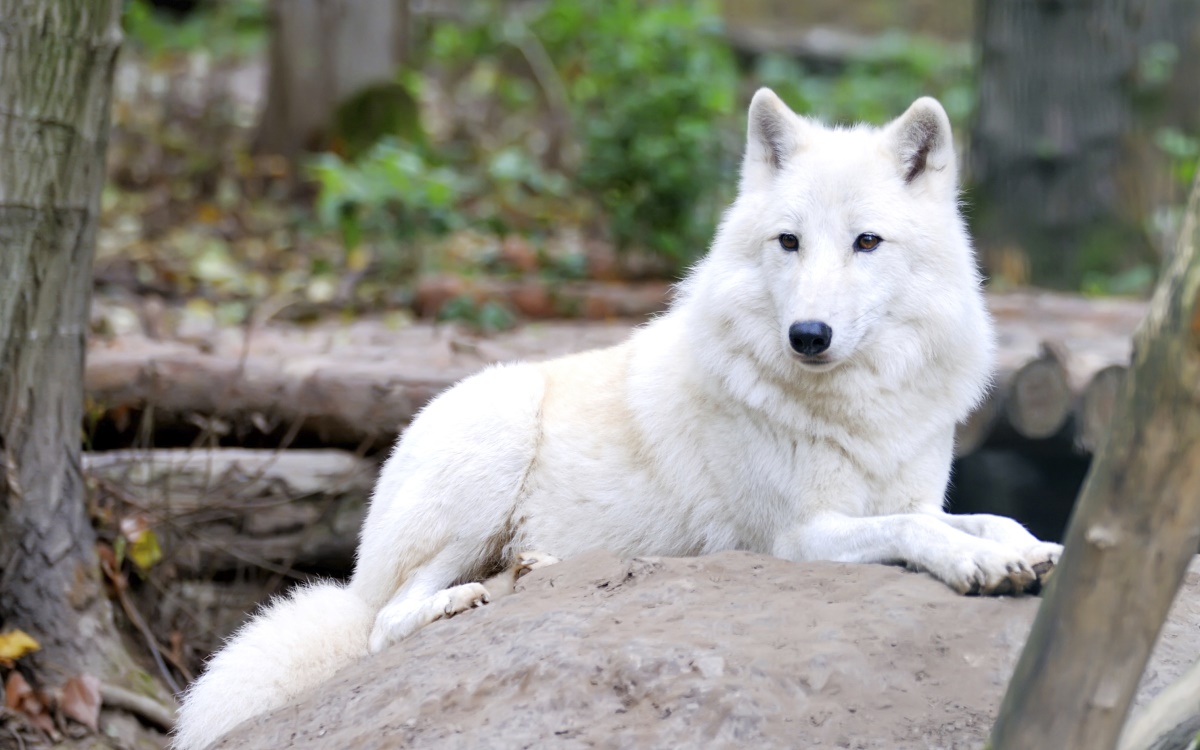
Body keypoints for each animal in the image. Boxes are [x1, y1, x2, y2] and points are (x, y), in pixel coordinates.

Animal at [175, 90, 1060, 744]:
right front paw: (978, 566)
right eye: (789, 242)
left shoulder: (911, 494)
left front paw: (1032, 550)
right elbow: (918, 534)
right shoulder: (793, 537)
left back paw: (528, 570)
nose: (808, 335)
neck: (858, 406)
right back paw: (463, 600)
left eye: (866, 242)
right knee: (383, 624)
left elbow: (984, 518)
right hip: (491, 447)